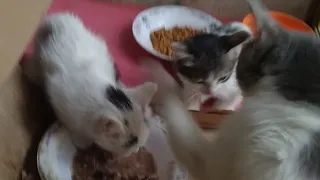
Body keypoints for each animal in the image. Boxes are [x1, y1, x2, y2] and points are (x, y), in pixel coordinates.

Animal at [22, 12, 158, 156]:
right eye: (129, 144)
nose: (136, 150)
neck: (101, 95)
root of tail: (60, 19)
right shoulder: (60, 99)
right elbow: (70, 122)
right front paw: (82, 140)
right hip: (37, 59)